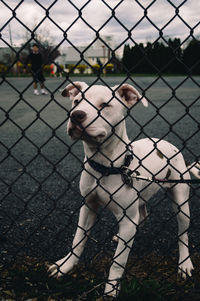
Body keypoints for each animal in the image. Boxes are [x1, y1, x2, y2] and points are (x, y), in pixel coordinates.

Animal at [48, 81, 200, 296]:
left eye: (105, 105)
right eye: (76, 101)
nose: (76, 114)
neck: (106, 165)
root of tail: (171, 146)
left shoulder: (127, 218)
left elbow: (118, 261)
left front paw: (110, 290)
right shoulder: (88, 207)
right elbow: (78, 240)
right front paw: (65, 266)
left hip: (182, 205)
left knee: (183, 234)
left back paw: (185, 263)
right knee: (141, 216)